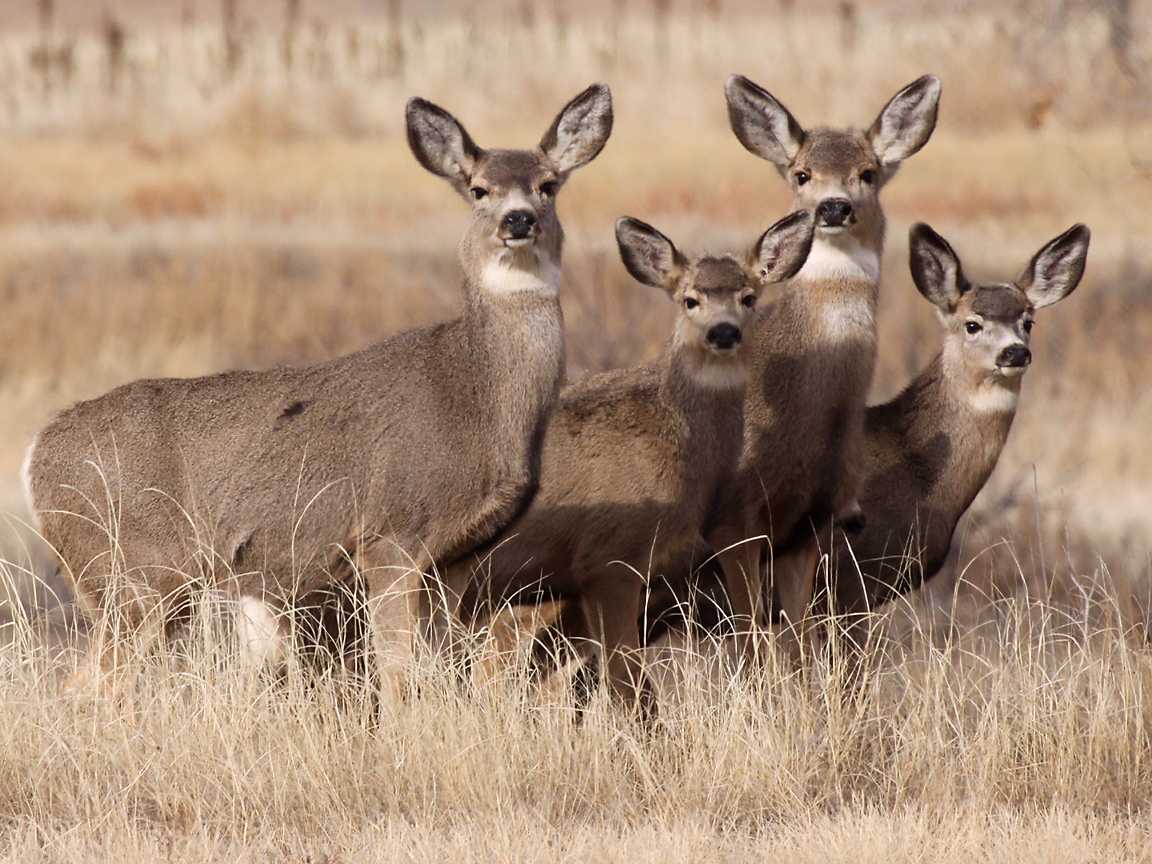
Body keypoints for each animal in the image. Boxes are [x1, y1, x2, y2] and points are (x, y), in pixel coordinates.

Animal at [20, 82, 612, 705]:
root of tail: (33, 455)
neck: (476, 392)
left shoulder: (456, 556)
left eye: (549, 184)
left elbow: (447, 669)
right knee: (85, 684)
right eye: (478, 189)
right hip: (132, 570)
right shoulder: (390, 533)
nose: (519, 219)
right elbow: (398, 675)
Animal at [705, 76, 940, 668]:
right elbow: (751, 636)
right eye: (801, 173)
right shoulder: (732, 519)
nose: (833, 206)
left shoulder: (814, 520)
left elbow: (799, 638)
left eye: (868, 172)